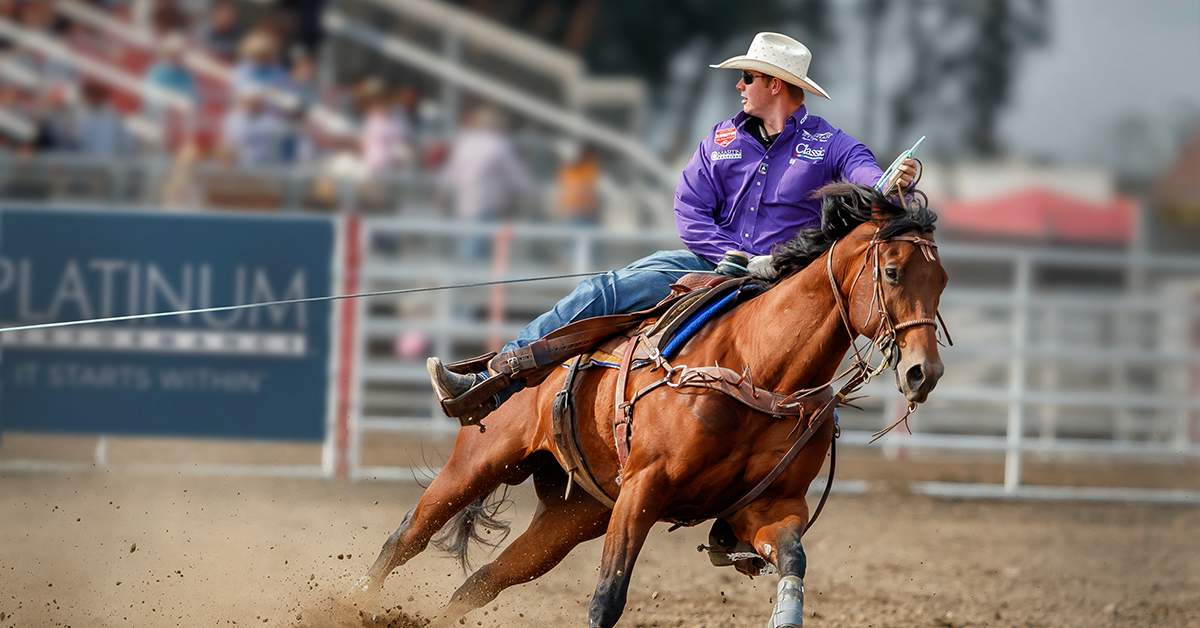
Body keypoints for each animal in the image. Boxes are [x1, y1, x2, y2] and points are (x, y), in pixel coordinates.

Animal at [345, 180, 945, 624]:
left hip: (572, 517)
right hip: (479, 462)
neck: (758, 368)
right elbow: (607, 597)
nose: (924, 373)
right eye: (892, 272)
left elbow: (794, 562)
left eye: (941, 281)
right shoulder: (644, 487)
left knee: (480, 583)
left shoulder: (770, 506)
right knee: (406, 537)